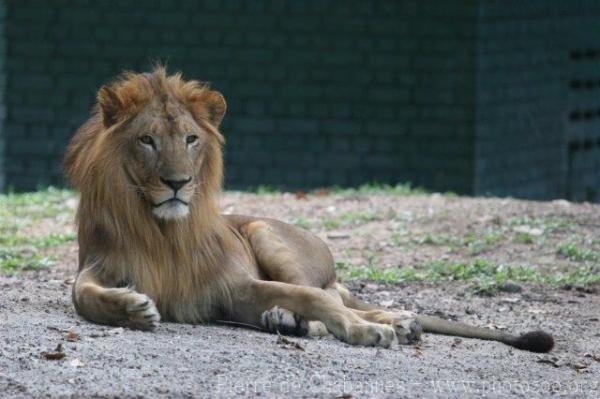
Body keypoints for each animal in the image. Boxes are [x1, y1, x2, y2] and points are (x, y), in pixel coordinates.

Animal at [63, 66, 556, 354]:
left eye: (190, 139)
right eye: (147, 140)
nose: (177, 183)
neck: (161, 230)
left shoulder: (234, 285)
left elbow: (314, 297)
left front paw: (367, 332)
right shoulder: (102, 263)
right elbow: (80, 293)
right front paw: (132, 309)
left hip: (266, 232)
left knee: (334, 294)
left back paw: (395, 323)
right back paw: (288, 321)